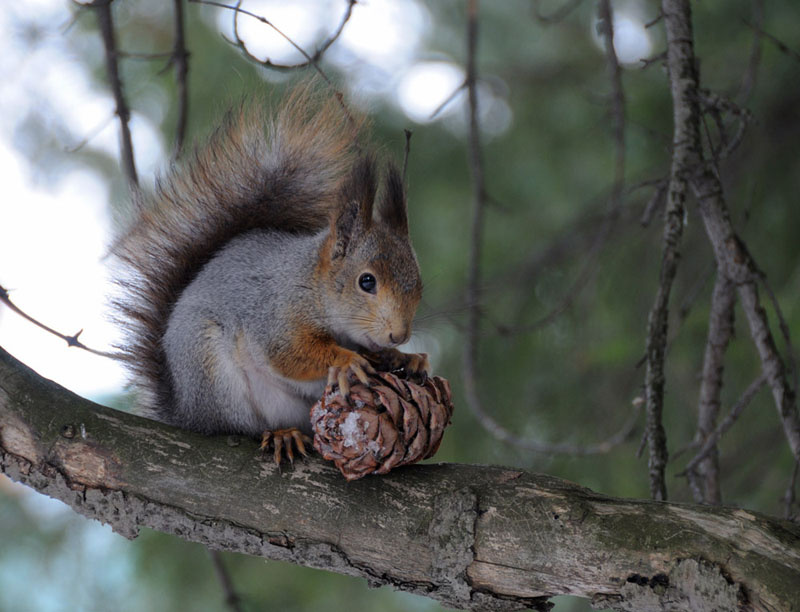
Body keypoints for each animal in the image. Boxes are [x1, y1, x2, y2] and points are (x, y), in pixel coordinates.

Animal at [112, 84, 429, 461]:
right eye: (366, 281)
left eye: (420, 284)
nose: (399, 335)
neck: (312, 284)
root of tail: (186, 413)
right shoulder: (275, 312)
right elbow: (287, 354)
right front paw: (347, 360)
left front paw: (406, 358)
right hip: (212, 371)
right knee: (238, 427)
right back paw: (279, 434)